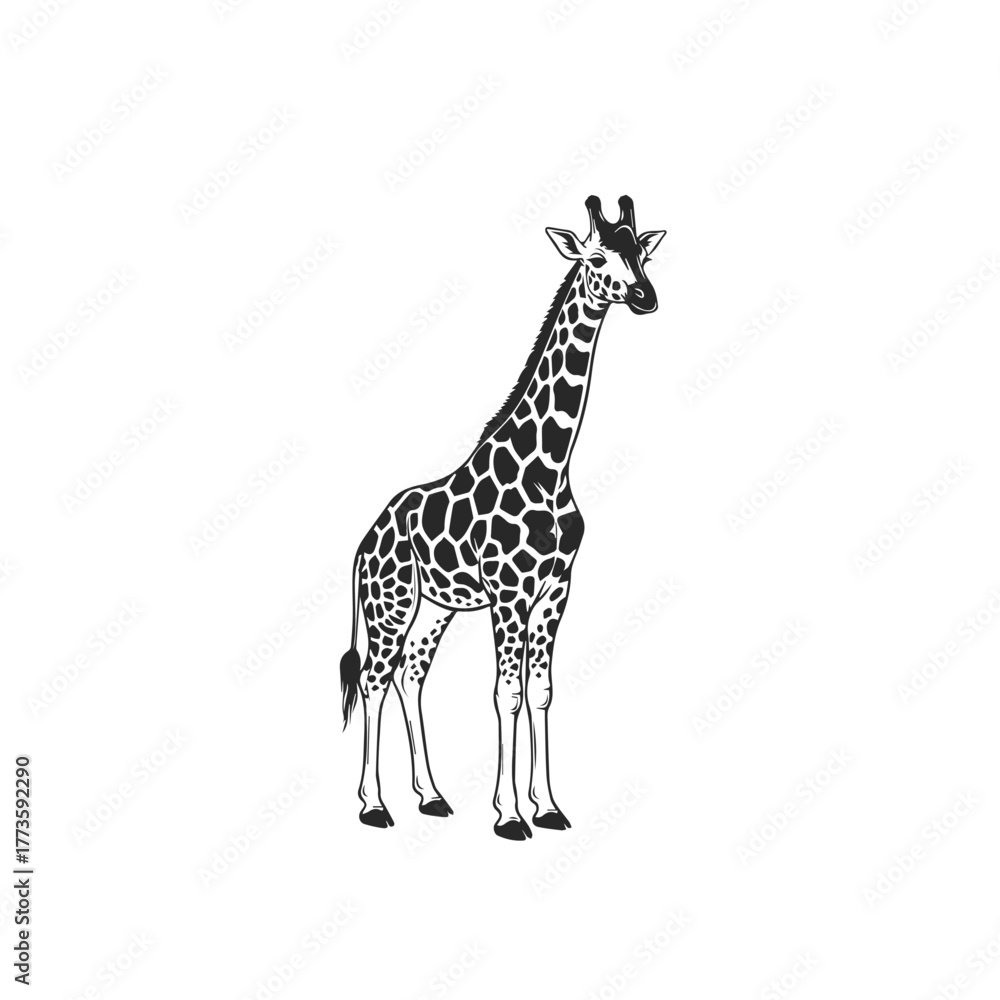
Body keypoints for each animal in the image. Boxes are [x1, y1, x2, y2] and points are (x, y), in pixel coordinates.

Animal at [341, 195, 665, 839]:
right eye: (596, 256)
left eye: (641, 254)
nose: (645, 296)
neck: (551, 466)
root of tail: (362, 542)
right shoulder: (509, 592)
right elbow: (506, 693)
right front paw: (510, 815)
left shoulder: (557, 588)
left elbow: (539, 691)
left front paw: (549, 807)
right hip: (390, 601)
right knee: (372, 679)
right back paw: (373, 806)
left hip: (435, 605)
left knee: (410, 676)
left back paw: (431, 796)